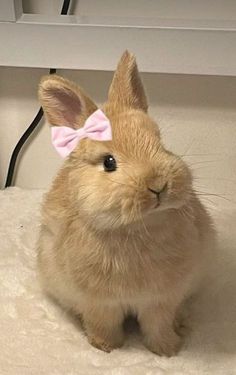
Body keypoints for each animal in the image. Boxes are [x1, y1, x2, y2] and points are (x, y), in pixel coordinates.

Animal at [37, 51, 216, 356]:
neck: (136, 228)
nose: (158, 186)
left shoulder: (161, 300)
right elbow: (103, 324)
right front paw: (106, 348)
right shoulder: (99, 303)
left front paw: (167, 350)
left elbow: (158, 325)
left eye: (160, 143)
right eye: (109, 162)